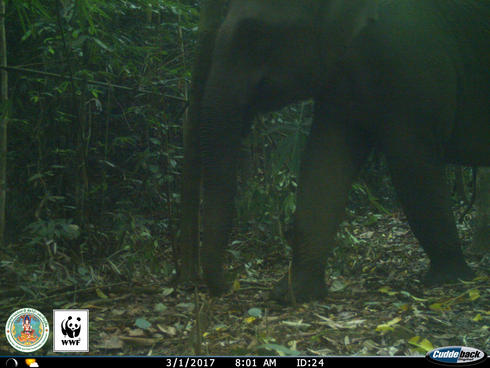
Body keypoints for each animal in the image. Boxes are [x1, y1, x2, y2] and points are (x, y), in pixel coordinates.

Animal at [193, 0, 488, 304]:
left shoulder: (412, 58)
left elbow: (413, 165)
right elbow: (324, 163)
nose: (229, 285)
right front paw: (292, 294)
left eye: (254, 33)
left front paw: (450, 278)